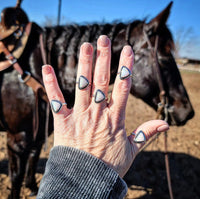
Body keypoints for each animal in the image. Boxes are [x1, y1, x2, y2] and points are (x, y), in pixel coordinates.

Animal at [0, 1, 194, 199]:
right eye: (164, 59)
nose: (188, 112)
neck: (34, 66)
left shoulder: (39, 134)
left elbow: (33, 157)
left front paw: (32, 187)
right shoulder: (17, 140)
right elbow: (16, 176)